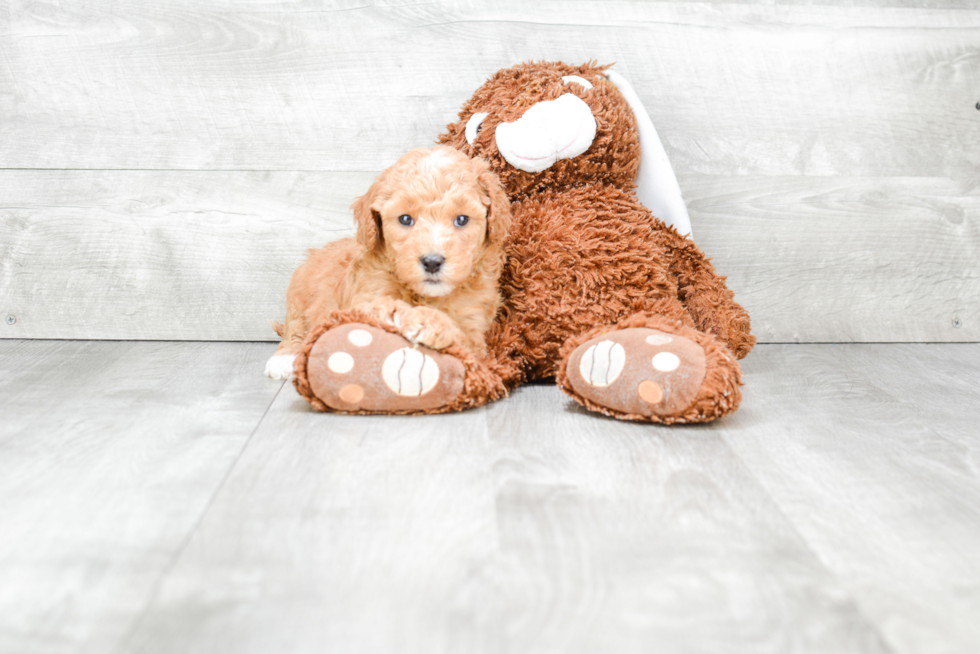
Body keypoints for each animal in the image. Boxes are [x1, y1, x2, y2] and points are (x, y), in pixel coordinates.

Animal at [266, 144, 512, 380]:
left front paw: (433, 325)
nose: (432, 262)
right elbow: (376, 310)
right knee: (294, 328)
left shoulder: (474, 327)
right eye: (405, 219)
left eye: (461, 219)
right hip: (298, 294)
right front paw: (408, 316)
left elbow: (462, 340)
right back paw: (283, 360)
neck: (426, 296)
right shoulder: (363, 298)